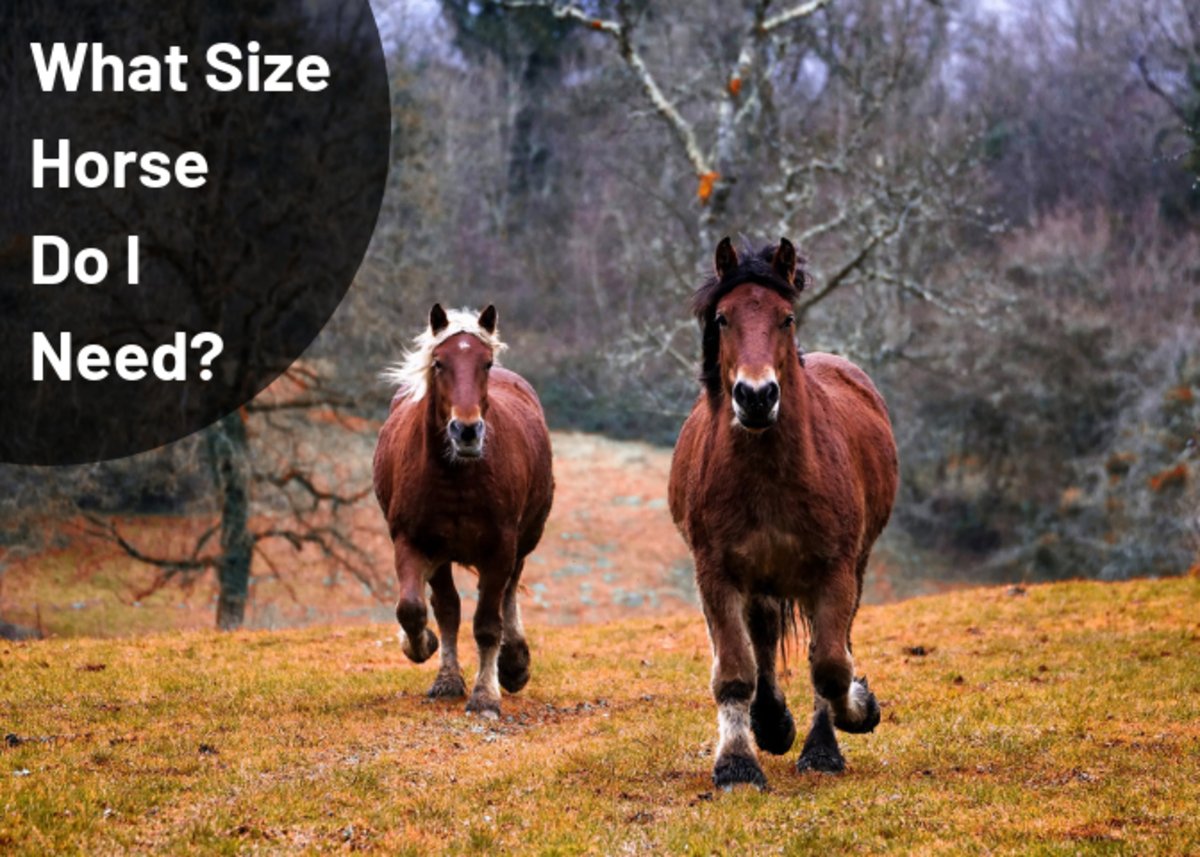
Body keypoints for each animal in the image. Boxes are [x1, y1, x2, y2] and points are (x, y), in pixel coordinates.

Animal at [373, 304, 555, 718]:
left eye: (485, 363)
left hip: (523, 542)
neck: (456, 476)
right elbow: (415, 609)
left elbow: (488, 623)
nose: (467, 431)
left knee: (507, 594)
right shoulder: (413, 542)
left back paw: (513, 664)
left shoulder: (500, 547)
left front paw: (486, 695)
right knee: (448, 607)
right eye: (439, 363)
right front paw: (423, 648)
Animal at [668, 237, 899, 789]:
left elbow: (831, 666)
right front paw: (737, 763)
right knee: (764, 639)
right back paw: (770, 723)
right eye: (723, 318)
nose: (756, 396)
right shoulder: (717, 573)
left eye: (786, 318)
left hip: (848, 569)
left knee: (825, 646)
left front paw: (854, 716)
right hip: (761, 580)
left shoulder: (835, 571)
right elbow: (735, 671)